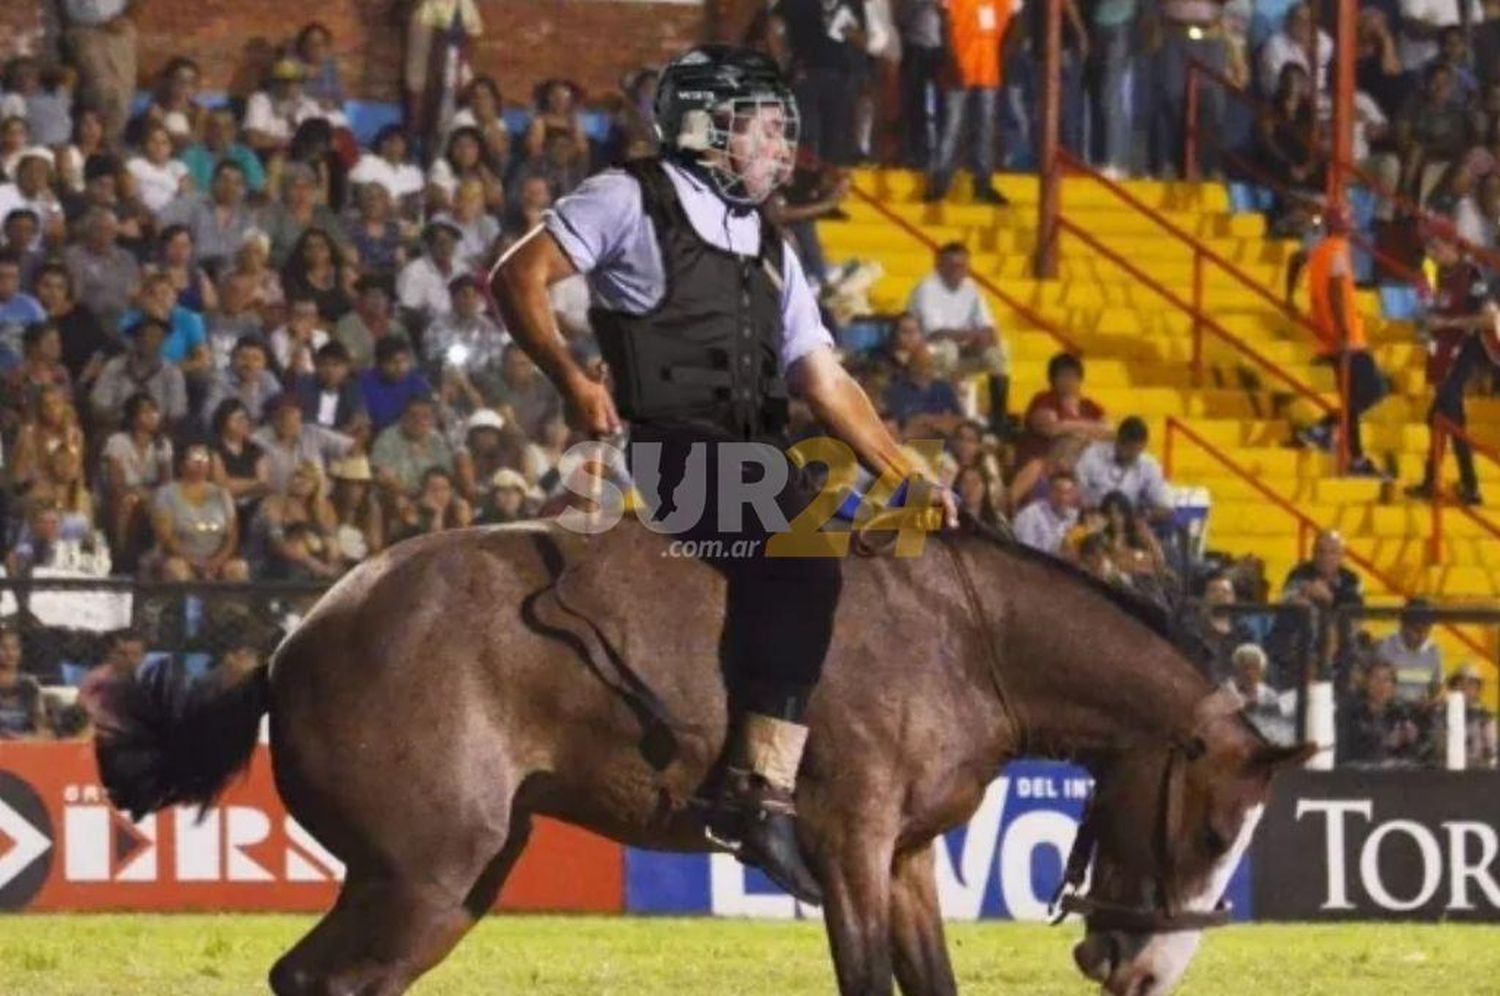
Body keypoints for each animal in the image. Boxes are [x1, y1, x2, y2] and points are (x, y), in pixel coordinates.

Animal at [96, 522, 1314, 996]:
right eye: (1215, 830)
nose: (1143, 970)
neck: (967, 636)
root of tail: (294, 639)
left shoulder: (907, 860)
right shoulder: (848, 847)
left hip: (444, 885)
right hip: (419, 878)